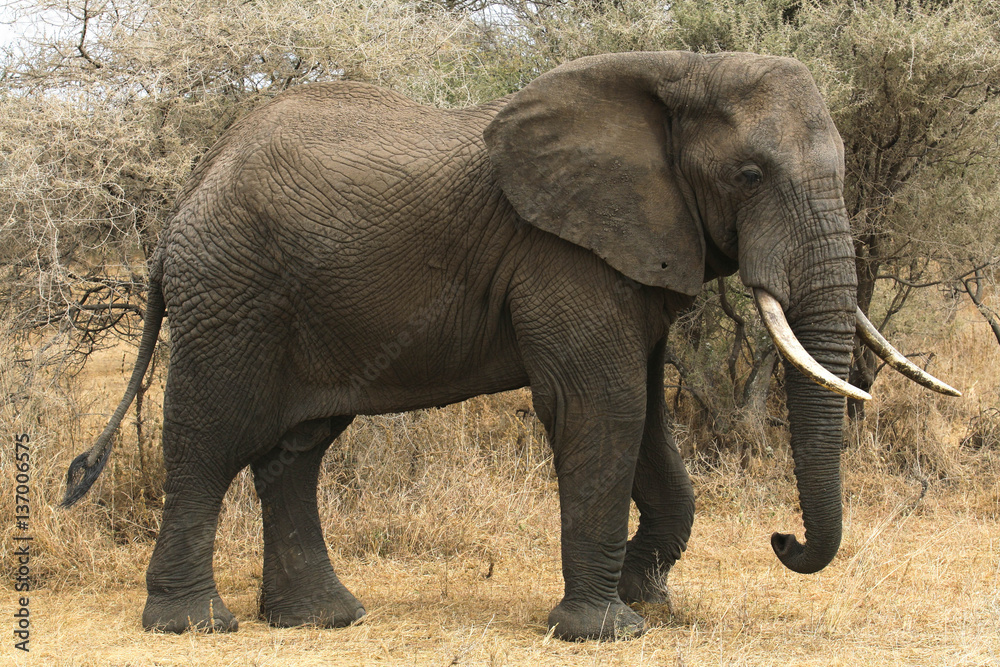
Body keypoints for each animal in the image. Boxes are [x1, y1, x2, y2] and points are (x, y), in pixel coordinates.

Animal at [62, 51, 958, 641]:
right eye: (748, 176)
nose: (783, 540)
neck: (680, 68)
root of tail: (182, 206)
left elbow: (646, 419)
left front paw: (648, 599)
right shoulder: (562, 253)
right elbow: (601, 407)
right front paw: (607, 629)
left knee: (297, 451)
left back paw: (324, 619)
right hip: (231, 295)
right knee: (208, 442)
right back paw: (194, 626)